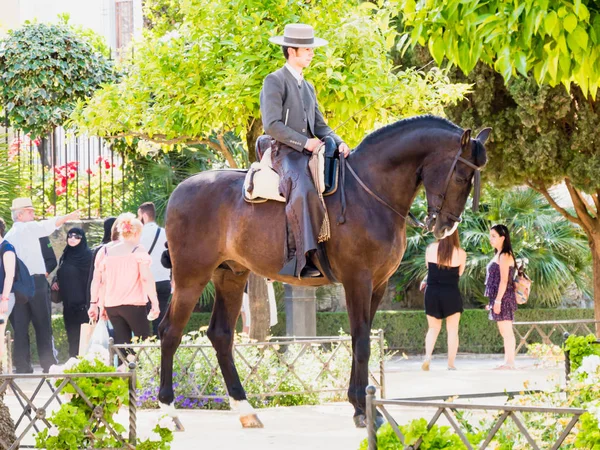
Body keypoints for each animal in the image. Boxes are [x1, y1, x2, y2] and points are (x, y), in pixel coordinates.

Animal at [157, 115, 490, 428]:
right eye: (461, 176)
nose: (446, 227)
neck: (369, 191)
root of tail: (179, 191)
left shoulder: (378, 285)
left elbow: (360, 338)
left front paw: (361, 406)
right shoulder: (357, 281)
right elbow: (362, 342)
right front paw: (364, 410)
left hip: (230, 276)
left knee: (221, 335)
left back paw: (245, 409)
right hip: (191, 276)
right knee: (170, 332)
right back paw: (168, 410)